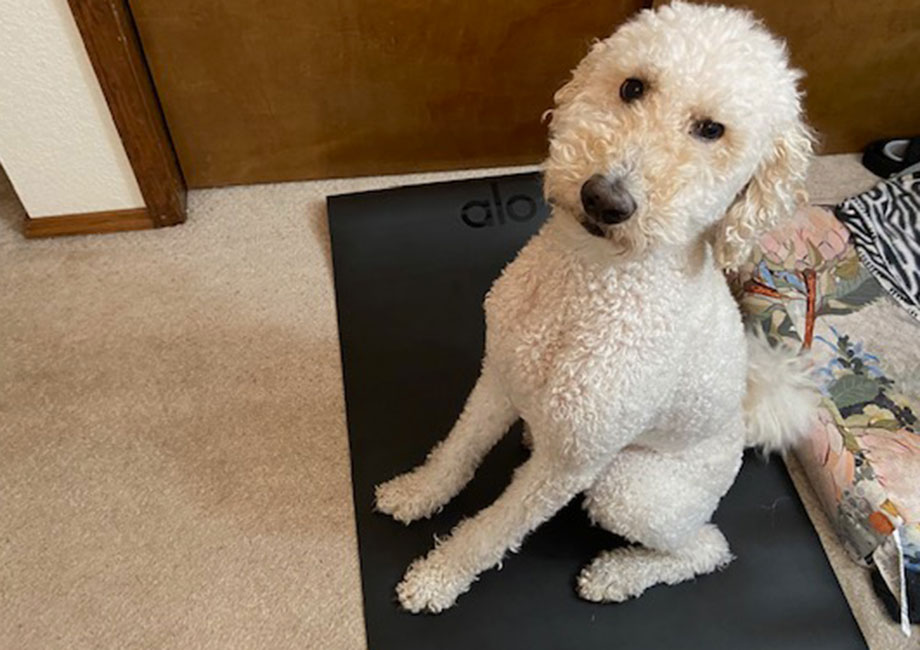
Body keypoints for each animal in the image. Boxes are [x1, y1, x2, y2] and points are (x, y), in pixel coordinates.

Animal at [376, 0, 820, 612]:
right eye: (633, 86)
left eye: (712, 129)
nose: (606, 199)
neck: (586, 279)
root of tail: (744, 427)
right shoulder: (499, 376)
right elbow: (458, 449)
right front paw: (419, 491)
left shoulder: (571, 464)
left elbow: (492, 531)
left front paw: (438, 577)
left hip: (627, 486)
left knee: (706, 547)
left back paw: (617, 575)